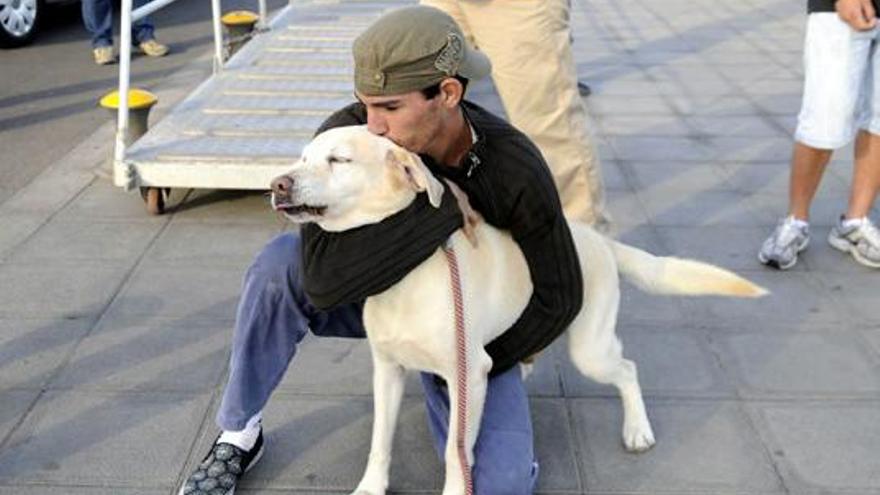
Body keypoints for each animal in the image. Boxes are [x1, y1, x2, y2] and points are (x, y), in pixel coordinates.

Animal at [272, 126, 768, 494]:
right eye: (302, 157)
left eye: (339, 160)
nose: (278, 184)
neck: (404, 273)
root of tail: (597, 239)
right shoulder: (388, 370)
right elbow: (379, 441)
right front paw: (370, 487)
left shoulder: (468, 374)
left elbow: (456, 454)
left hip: (590, 350)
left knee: (627, 368)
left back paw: (637, 429)